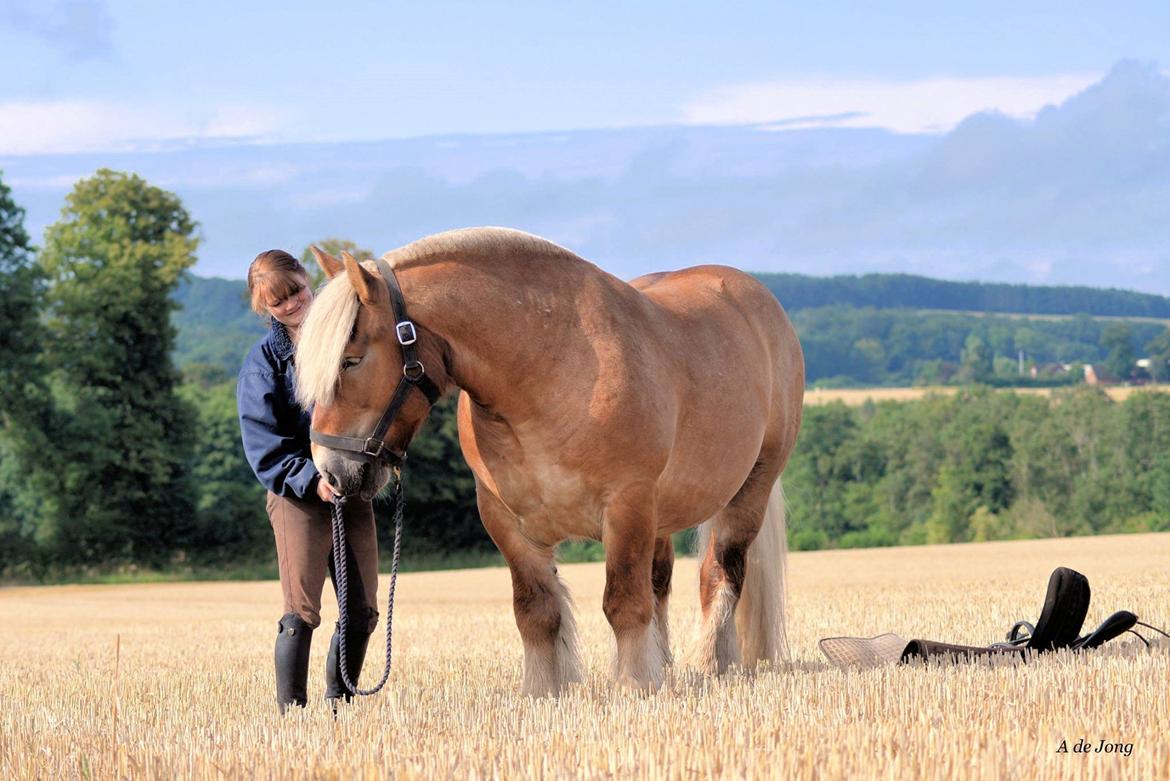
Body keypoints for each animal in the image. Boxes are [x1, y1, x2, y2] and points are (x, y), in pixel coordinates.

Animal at [292, 226, 804, 696]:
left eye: (351, 360)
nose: (331, 471)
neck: (553, 365)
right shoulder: (506, 521)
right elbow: (535, 610)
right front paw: (541, 690)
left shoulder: (627, 507)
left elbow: (623, 601)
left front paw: (633, 685)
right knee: (661, 582)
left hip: (749, 491)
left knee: (721, 574)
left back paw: (716, 663)